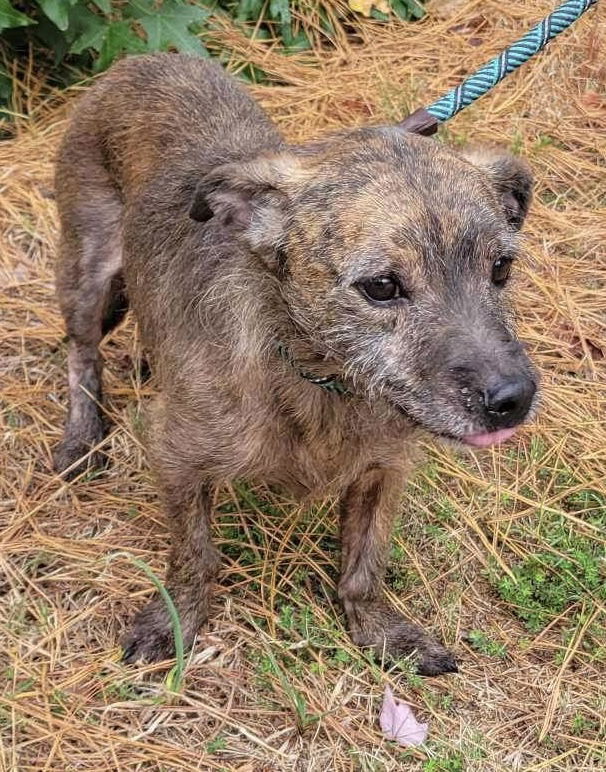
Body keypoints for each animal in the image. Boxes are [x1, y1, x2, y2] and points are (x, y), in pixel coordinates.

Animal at [54, 52, 540, 676]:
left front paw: (380, 631)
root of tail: (145, 58)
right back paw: (83, 434)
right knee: (81, 351)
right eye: (382, 286)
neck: (319, 378)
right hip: (88, 270)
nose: (513, 399)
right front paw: (175, 622)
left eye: (502, 267)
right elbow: (195, 555)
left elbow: (365, 563)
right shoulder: (176, 458)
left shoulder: (384, 469)